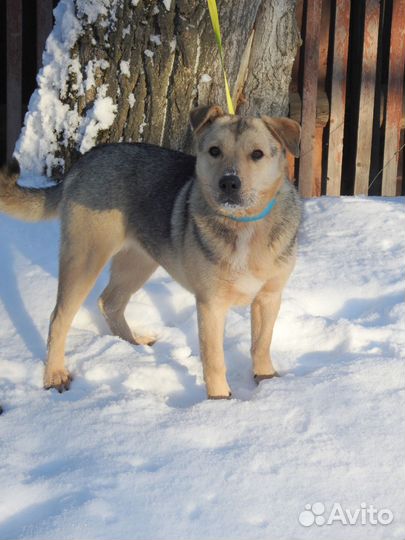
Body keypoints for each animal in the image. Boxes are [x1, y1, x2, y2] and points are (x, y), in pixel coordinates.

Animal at [0, 106, 300, 400]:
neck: (244, 223)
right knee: (58, 318)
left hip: (138, 261)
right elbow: (214, 360)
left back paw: (133, 344)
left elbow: (261, 343)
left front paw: (267, 382)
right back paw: (54, 375)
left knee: (109, 302)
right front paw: (219, 402)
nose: (229, 183)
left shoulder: (269, 296)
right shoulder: (211, 303)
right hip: (85, 257)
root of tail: (84, 161)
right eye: (215, 151)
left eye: (257, 154)